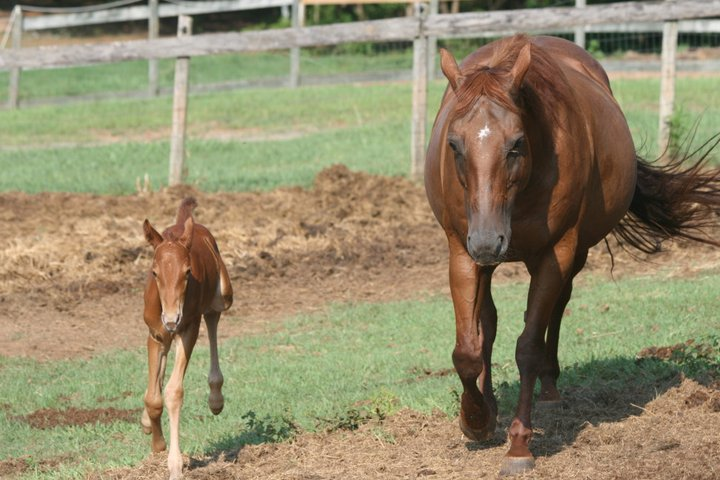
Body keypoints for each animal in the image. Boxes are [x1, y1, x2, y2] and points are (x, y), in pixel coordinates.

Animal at [141, 197, 233, 480]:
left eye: (188, 271)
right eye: (154, 272)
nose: (172, 318)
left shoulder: (188, 328)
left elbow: (173, 392)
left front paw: (174, 464)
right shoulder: (155, 334)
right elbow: (153, 398)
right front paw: (157, 442)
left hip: (224, 295)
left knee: (213, 316)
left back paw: (216, 397)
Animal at [424, 34, 720, 475]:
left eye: (516, 144)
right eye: (454, 145)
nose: (488, 241)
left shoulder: (556, 251)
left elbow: (528, 346)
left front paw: (519, 445)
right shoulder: (461, 251)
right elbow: (467, 350)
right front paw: (476, 419)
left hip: (568, 254)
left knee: (557, 308)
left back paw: (549, 387)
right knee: (489, 323)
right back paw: (492, 402)